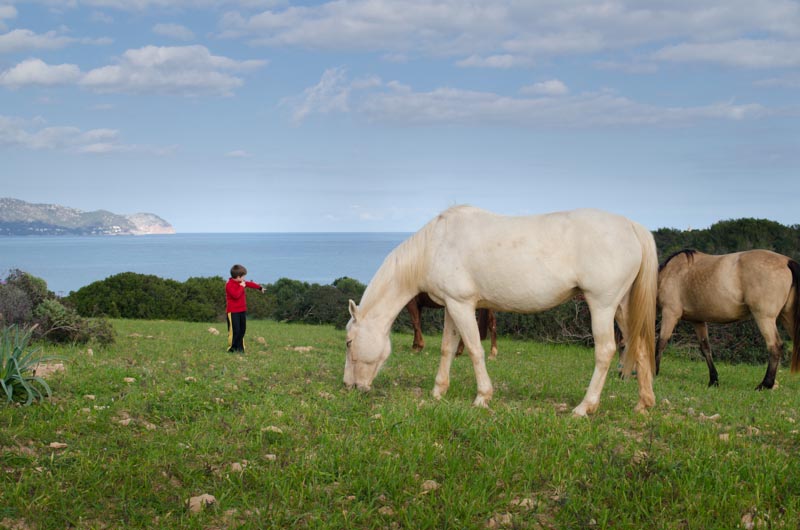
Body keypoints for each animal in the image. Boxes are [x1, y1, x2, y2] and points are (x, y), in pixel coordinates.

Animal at [342, 204, 656, 414]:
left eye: (348, 342)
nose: (348, 386)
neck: (436, 243)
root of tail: (631, 226)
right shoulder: (452, 307)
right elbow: (447, 349)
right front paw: (438, 391)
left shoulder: (462, 305)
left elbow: (473, 349)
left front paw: (483, 396)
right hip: (622, 308)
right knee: (639, 347)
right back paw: (643, 404)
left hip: (602, 305)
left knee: (605, 351)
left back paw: (584, 407)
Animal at [656, 248, 800, 388]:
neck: (669, 273)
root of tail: (787, 261)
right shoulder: (697, 320)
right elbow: (705, 348)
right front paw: (713, 380)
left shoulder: (670, 312)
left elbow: (661, 342)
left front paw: (655, 372)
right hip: (787, 317)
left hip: (764, 318)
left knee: (774, 346)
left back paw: (765, 384)